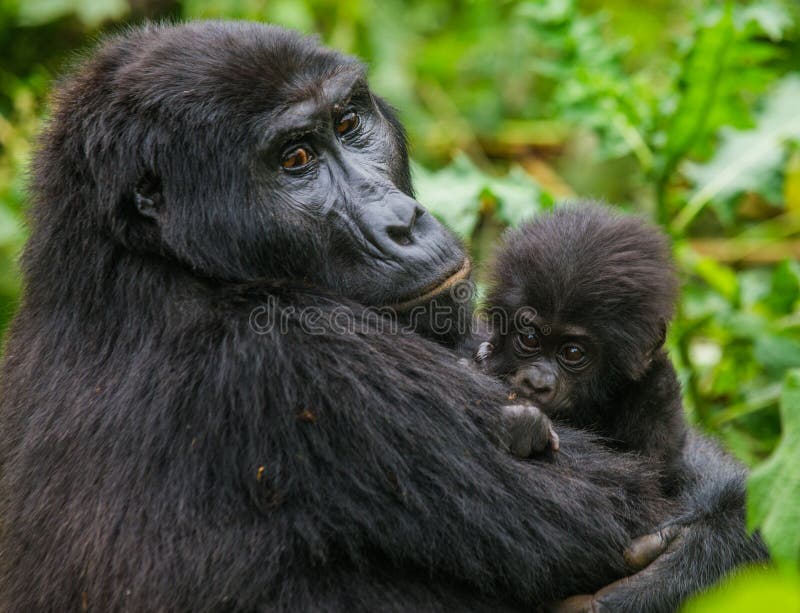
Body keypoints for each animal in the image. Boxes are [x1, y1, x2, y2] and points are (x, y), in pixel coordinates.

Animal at [476, 203, 688, 490]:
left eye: (573, 353)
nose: (536, 383)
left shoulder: (657, 394)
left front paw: (526, 425)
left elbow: (648, 480)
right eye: (530, 338)